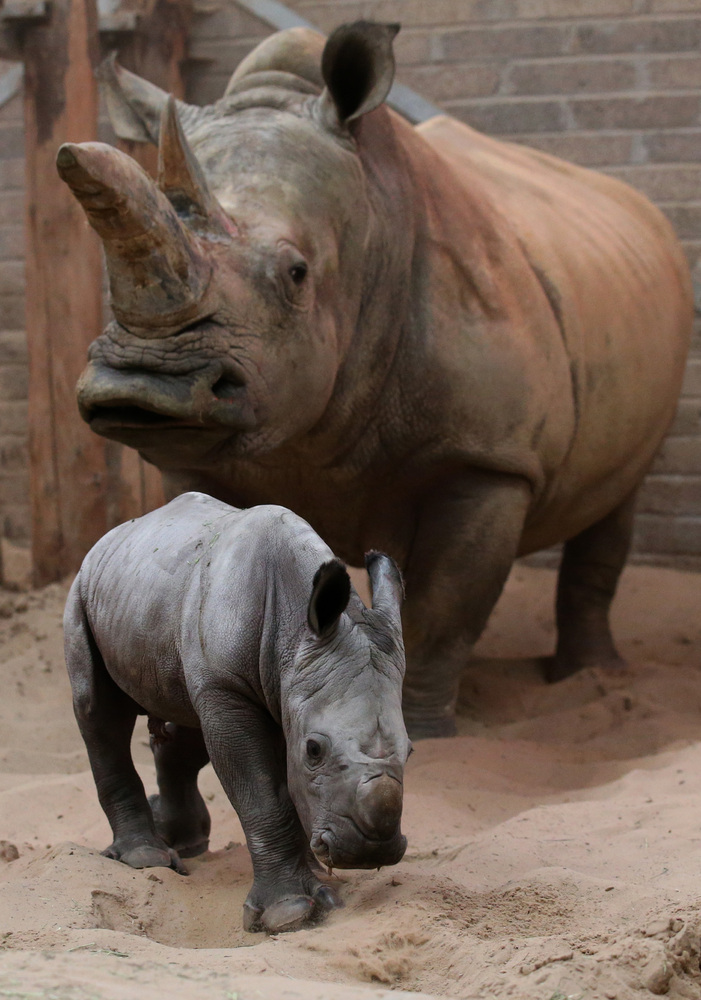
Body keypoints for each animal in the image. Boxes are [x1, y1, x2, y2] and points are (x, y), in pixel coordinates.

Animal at [54, 15, 688, 740]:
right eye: (108, 287)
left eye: (297, 273)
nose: (143, 387)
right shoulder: (196, 465)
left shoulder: (488, 461)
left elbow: (445, 604)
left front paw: (424, 731)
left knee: (615, 500)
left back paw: (588, 677)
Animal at [64, 488, 410, 932]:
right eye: (314, 750)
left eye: (411, 751)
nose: (370, 852)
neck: (295, 631)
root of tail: (109, 537)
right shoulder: (227, 687)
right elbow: (260, 791)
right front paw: (289, 913)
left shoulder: (282, 685)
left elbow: (283, 786)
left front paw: (320, 885)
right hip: (81, 593)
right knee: (100, 714)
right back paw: (146, 858)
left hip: (151, 605)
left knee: (185, 721)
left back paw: (185, 844)